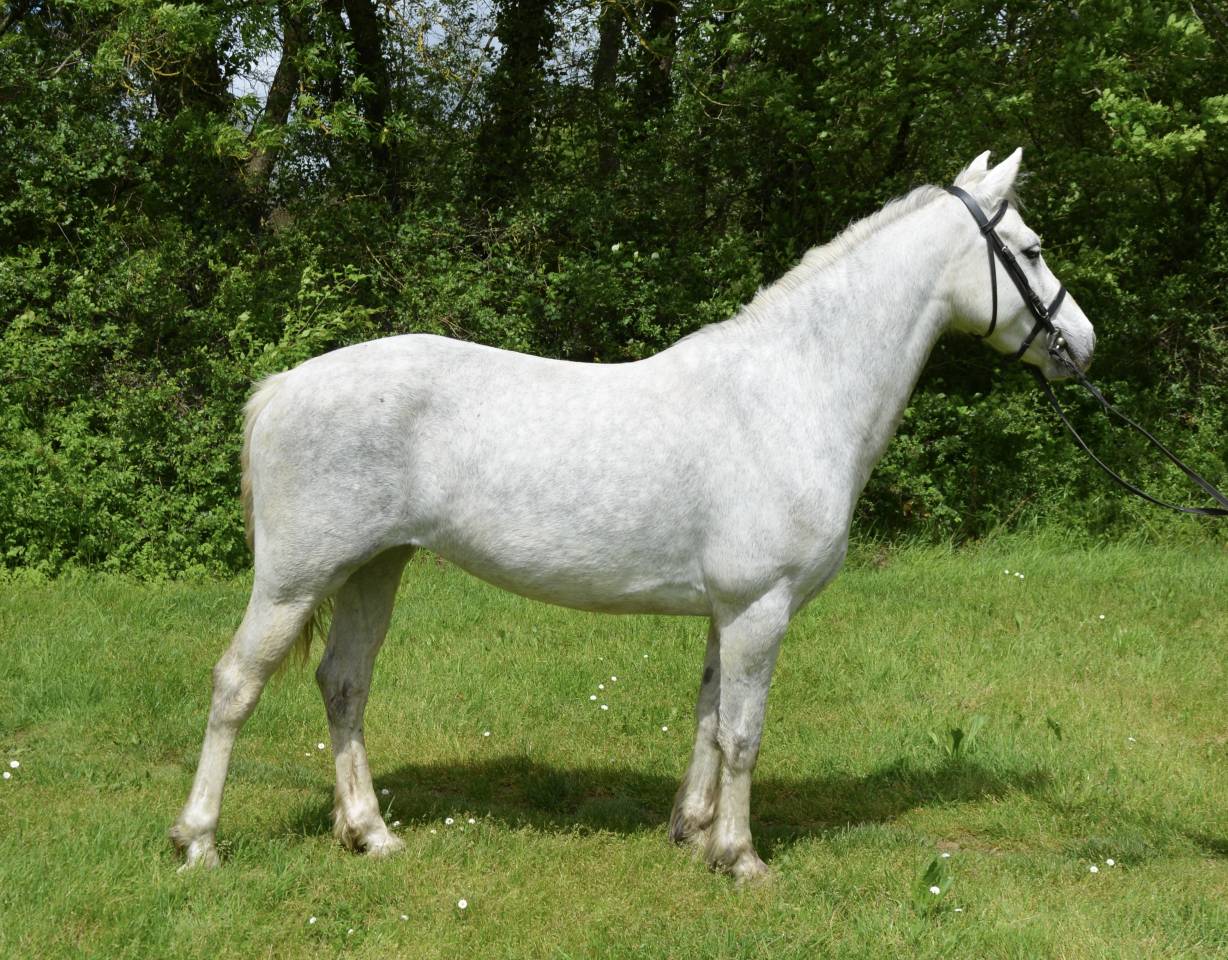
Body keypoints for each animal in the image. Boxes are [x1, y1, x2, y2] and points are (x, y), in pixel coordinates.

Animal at [172, 149, 1096, 881]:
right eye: (1031, 250)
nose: (1084, 345)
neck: (792, 390)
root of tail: (281, 387)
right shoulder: (760, 607)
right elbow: (744, 733)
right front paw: (742, 858)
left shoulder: (728, 611)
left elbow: (709, 721)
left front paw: (693, 832)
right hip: (296, 580)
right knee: (236, 685)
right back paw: (200, 842)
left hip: (373, 567)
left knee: (345, 683)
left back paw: (371, 834)